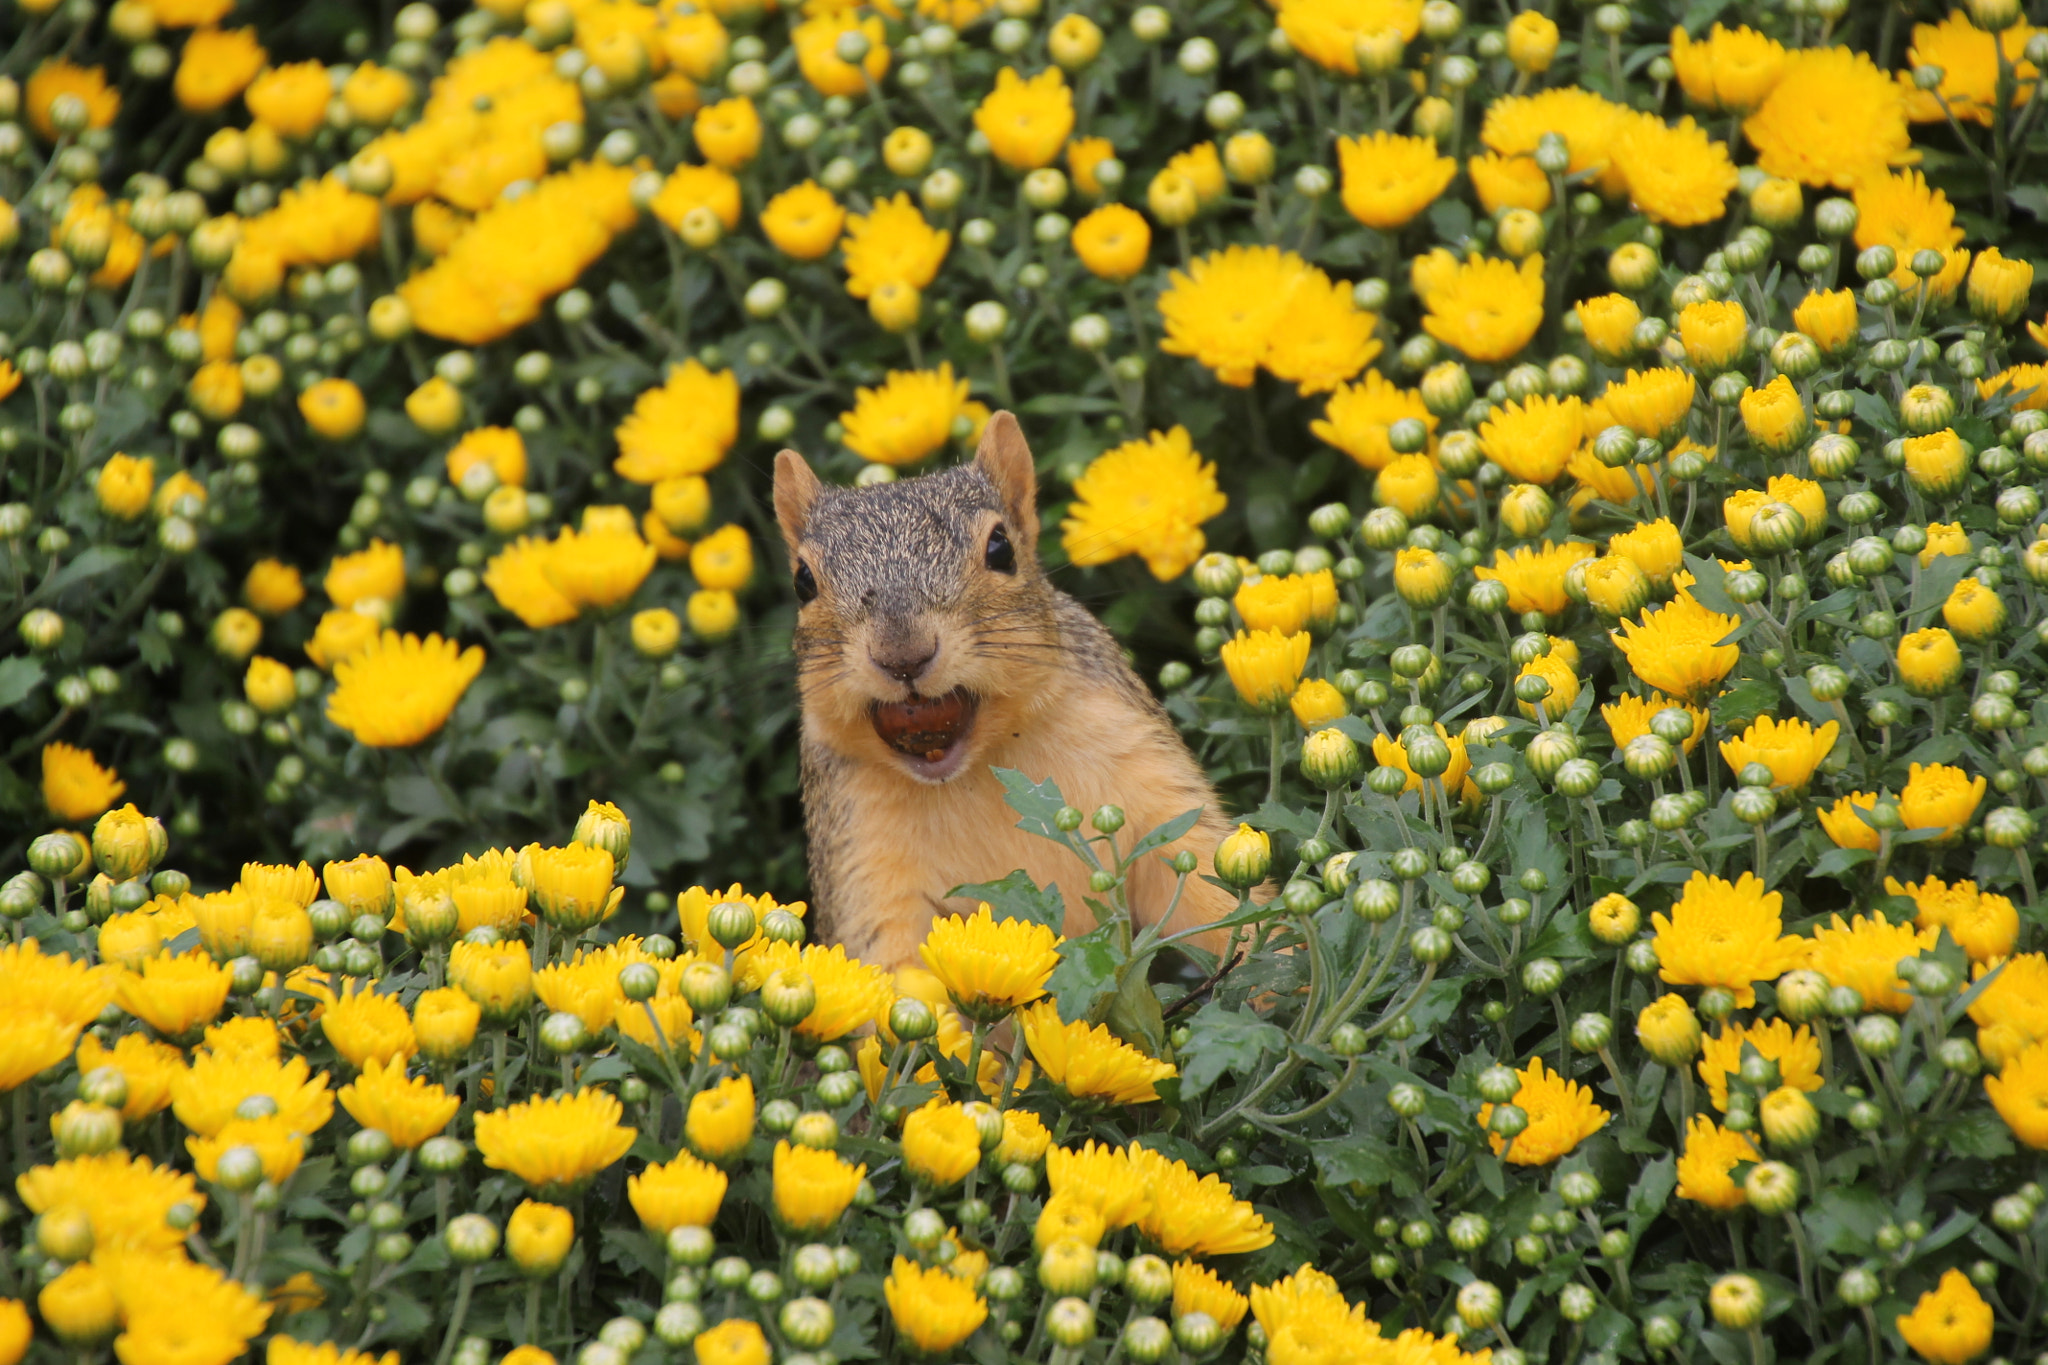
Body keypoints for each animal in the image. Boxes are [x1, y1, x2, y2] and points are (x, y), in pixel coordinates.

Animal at [772, 411, 1240, 970]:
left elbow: (1208, 887)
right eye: (802, 581)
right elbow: (889, 962)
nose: (902, 654)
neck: (979, 768)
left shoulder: (1145, 777)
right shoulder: (861, 853)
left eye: (1001, 548)